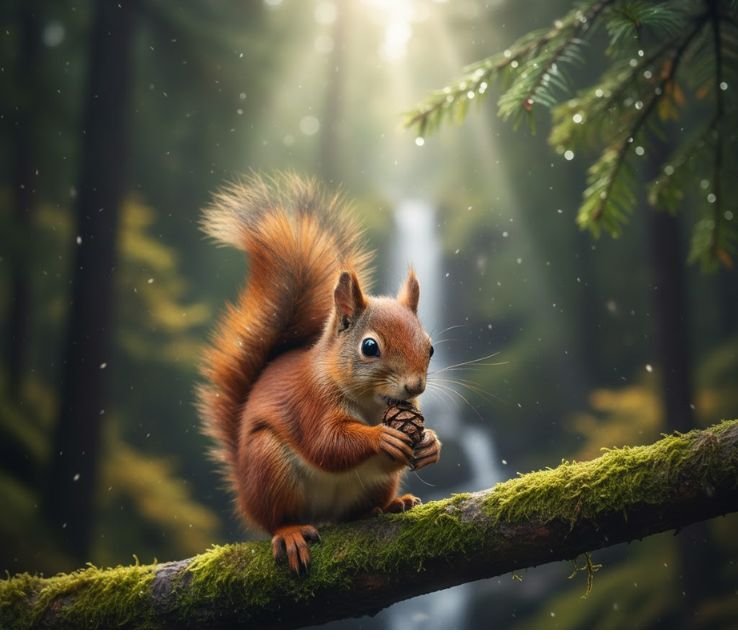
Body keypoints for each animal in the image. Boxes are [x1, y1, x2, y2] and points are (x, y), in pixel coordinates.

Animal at [197, 173, 442, 574]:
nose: (414, 386)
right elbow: (328, 444)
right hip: (269, 465)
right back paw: (291, 532)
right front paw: (381, 437)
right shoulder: (309, 403)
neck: (371, 405)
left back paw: (390, 505)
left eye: (430, 347)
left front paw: (431, 443)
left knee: (357, 511)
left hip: (373, 485)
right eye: (369, 347)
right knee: (277, 518)